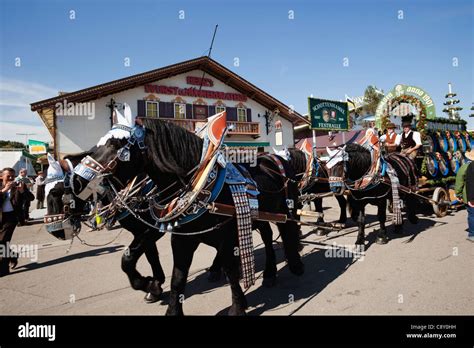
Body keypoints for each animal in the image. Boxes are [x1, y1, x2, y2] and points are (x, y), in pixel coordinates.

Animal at [68, 119, 304, 316]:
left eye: (117, 145)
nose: (77, 181)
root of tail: (273, 158)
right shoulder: (180, 238)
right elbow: (174, 276)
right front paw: (156, 290)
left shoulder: (217, 236)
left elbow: (230, 271)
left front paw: (237, 308)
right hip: (260, 216)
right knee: (267, 235)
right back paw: (268, 273)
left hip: (287, 209)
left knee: (287, 232)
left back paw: (293, 264)